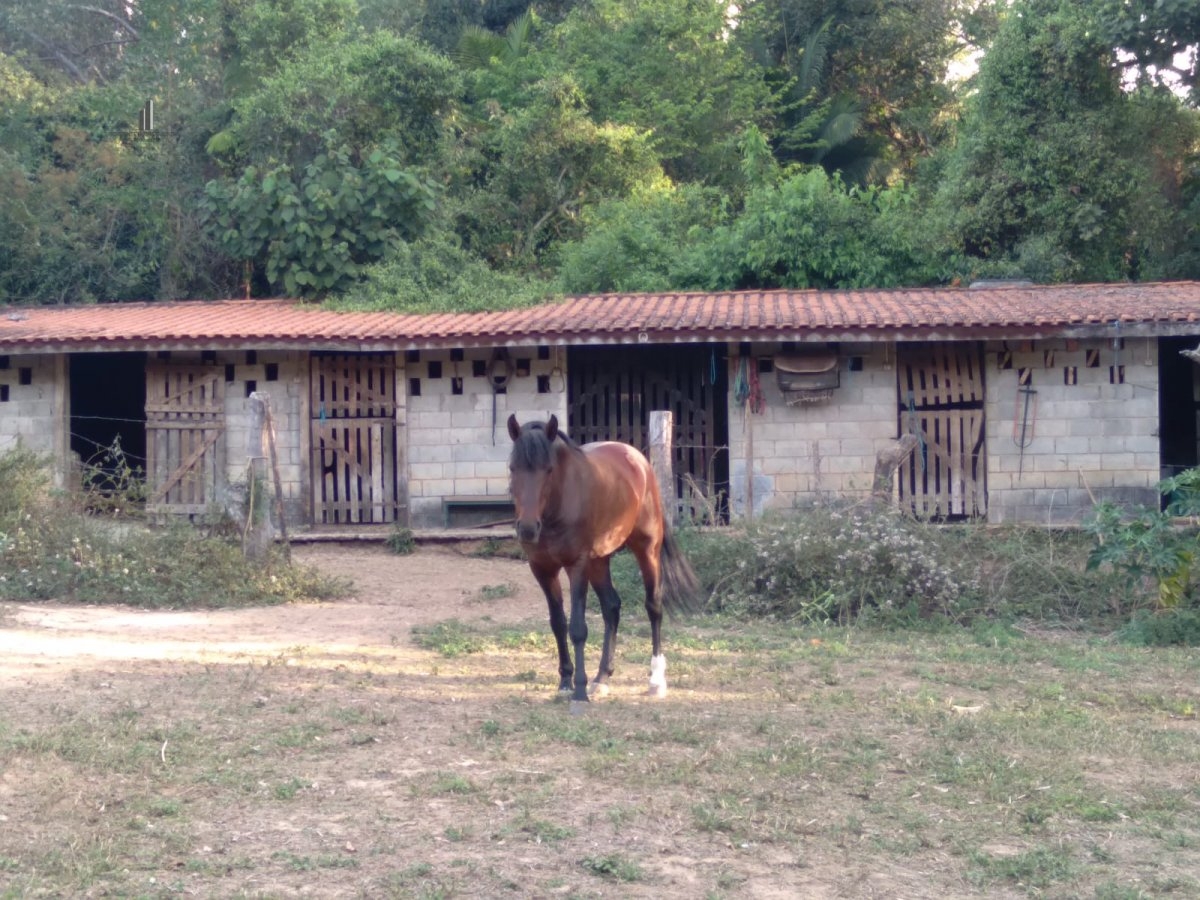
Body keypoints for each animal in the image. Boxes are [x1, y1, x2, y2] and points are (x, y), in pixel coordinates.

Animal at [508, 415, 700, 705]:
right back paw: (602, 678)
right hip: (599, 561)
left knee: (654, 606)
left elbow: (577, 628)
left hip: (646, 550)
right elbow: (558, 623)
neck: (558, 506)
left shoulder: (576, 566)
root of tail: (638, 460)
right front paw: (565, 681)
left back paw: (656, 680)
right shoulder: (542, 568)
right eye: (513, 468)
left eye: (549, 470)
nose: (528, 529)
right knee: (612, 606)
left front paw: (578, 690)